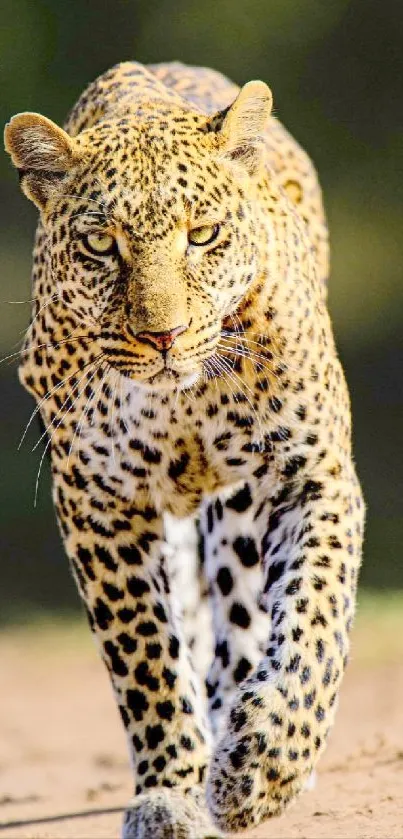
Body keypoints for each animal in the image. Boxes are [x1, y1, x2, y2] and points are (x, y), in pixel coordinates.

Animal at [4, 60, 364, 837]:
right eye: (101, 245)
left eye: (202, 235)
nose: (162, 336)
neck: (184, 397)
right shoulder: (98, 500)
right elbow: (145, 657)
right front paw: (170, 790)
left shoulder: (311, 474)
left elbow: (314, 619)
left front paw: (265, 765)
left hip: (238, 511)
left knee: (245, 618)